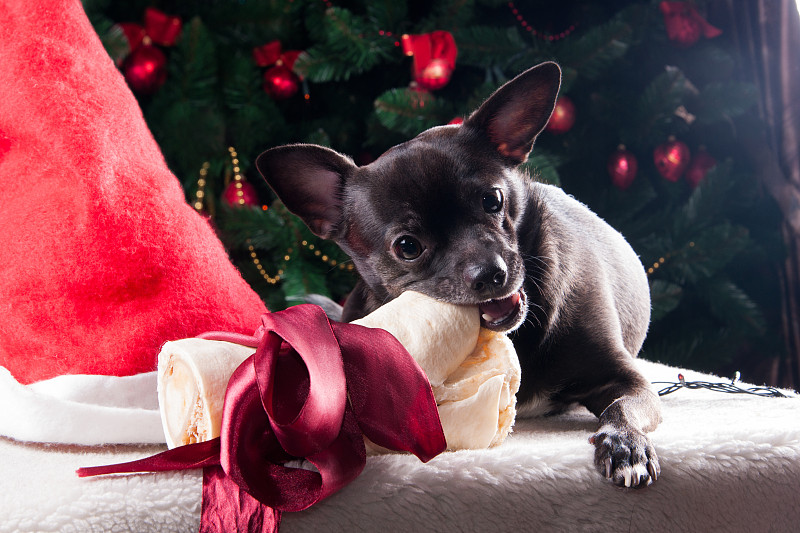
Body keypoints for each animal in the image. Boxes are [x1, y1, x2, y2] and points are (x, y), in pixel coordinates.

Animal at [256, 61, 664, 486]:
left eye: (493, 200)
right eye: (407, 246)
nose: (490, 274)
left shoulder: (629, 381)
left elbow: (621, 408)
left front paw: (625, 445)